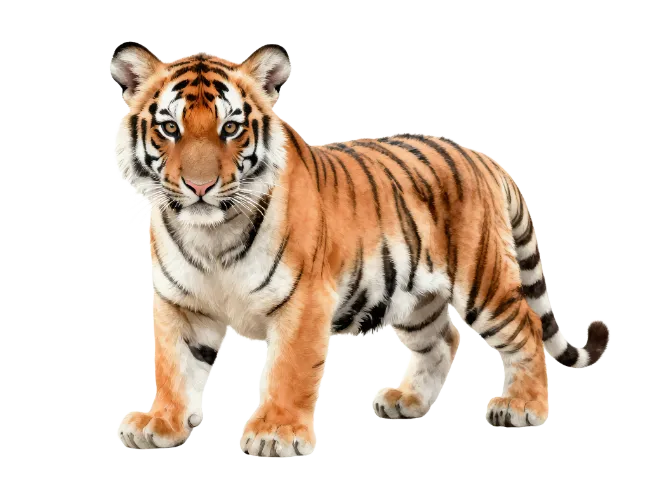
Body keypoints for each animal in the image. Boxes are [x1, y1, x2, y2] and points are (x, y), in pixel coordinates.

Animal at [111, 41, 611, 456]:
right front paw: (162, 424)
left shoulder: (304, 300)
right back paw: (407, 401)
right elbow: (173, 367)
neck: (212, 235)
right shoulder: (181, 303)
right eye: (170, 128)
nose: (199, 187)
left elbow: (289, 371)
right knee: (443, 339)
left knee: (526, 328)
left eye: (231, 128)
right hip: (415, 297)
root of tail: (485, 159)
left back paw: (523, 407)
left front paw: (276, 434)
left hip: (484, 282)